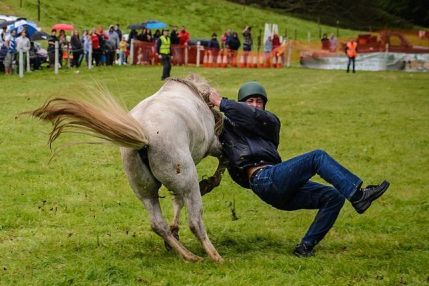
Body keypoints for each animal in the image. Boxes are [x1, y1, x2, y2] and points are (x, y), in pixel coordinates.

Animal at [28, 75, 226, 262]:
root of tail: (145, 138)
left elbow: (177, 201)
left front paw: (175, 230)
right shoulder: (212, 145)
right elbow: (223, 159)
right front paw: (210, 182)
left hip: (147, 191)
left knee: (158, 224)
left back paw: (187, 254)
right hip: (187, 181)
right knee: (194, 220)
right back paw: (214, 256)